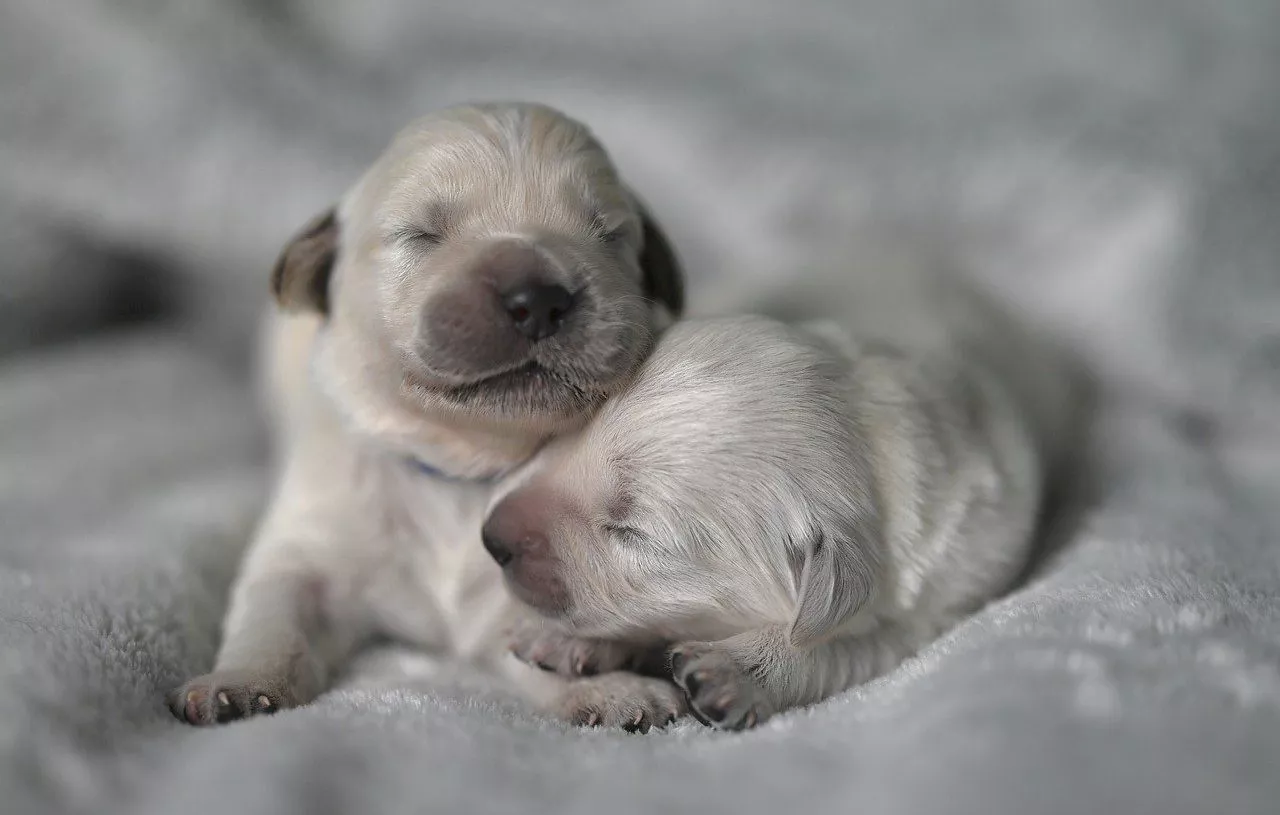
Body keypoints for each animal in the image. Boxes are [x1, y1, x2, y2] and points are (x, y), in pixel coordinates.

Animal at [172, 101, 691, 731]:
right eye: (421, 234)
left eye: (608, 235)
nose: (538, 299)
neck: (461, 468)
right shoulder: (308, 544)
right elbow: (274, 615)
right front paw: (238, 684)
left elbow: (541, 635)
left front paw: (609, 688)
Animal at [481, 263, 1080, 726]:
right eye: (582, 428)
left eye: (633, 533)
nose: (491, 539)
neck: (870, 435)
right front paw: (563, 640)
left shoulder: (940, 601)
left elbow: (842, 647)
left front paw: (740, 668)